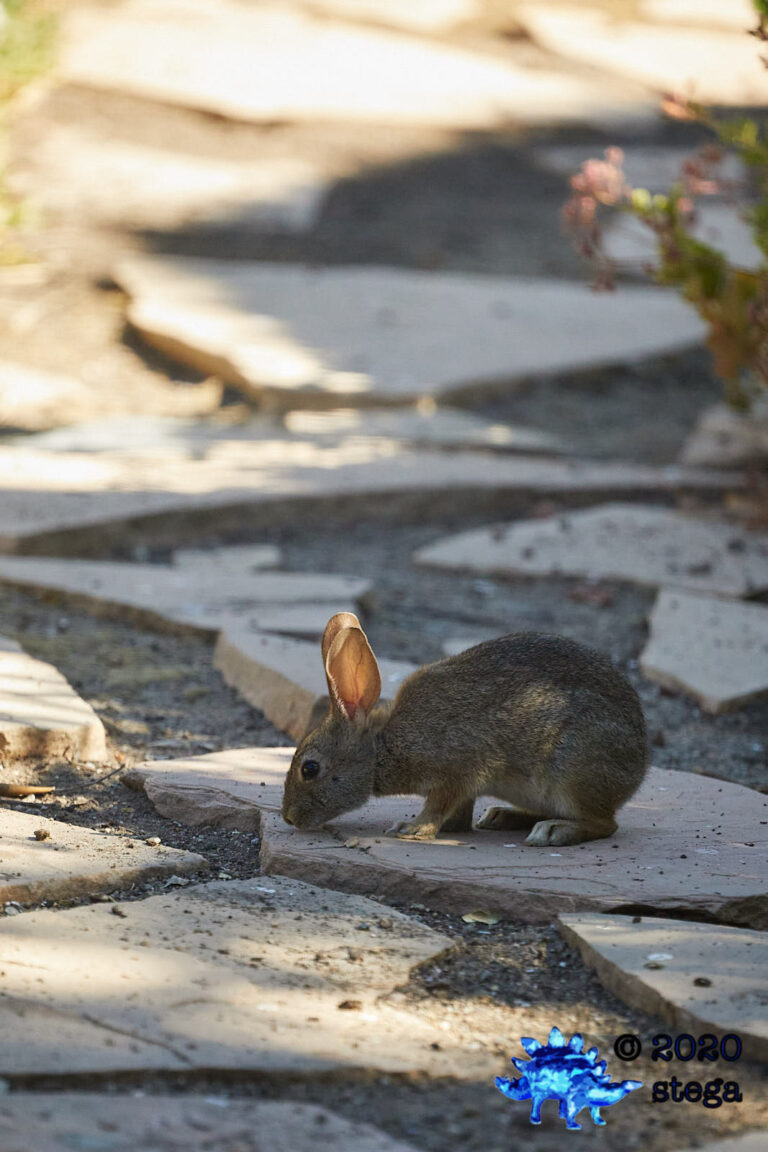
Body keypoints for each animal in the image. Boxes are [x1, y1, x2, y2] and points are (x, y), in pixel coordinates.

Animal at [281, 612, 648, 847]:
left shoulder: (458, 769)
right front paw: (447, 828)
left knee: (606, 824)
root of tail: (638, 768)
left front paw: (411, 828)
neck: (382, 747)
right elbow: (457, 812)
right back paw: (502, 816)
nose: (288, 818)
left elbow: (439, 804)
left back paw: (553, 831)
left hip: (572, 773)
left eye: (310, 769)